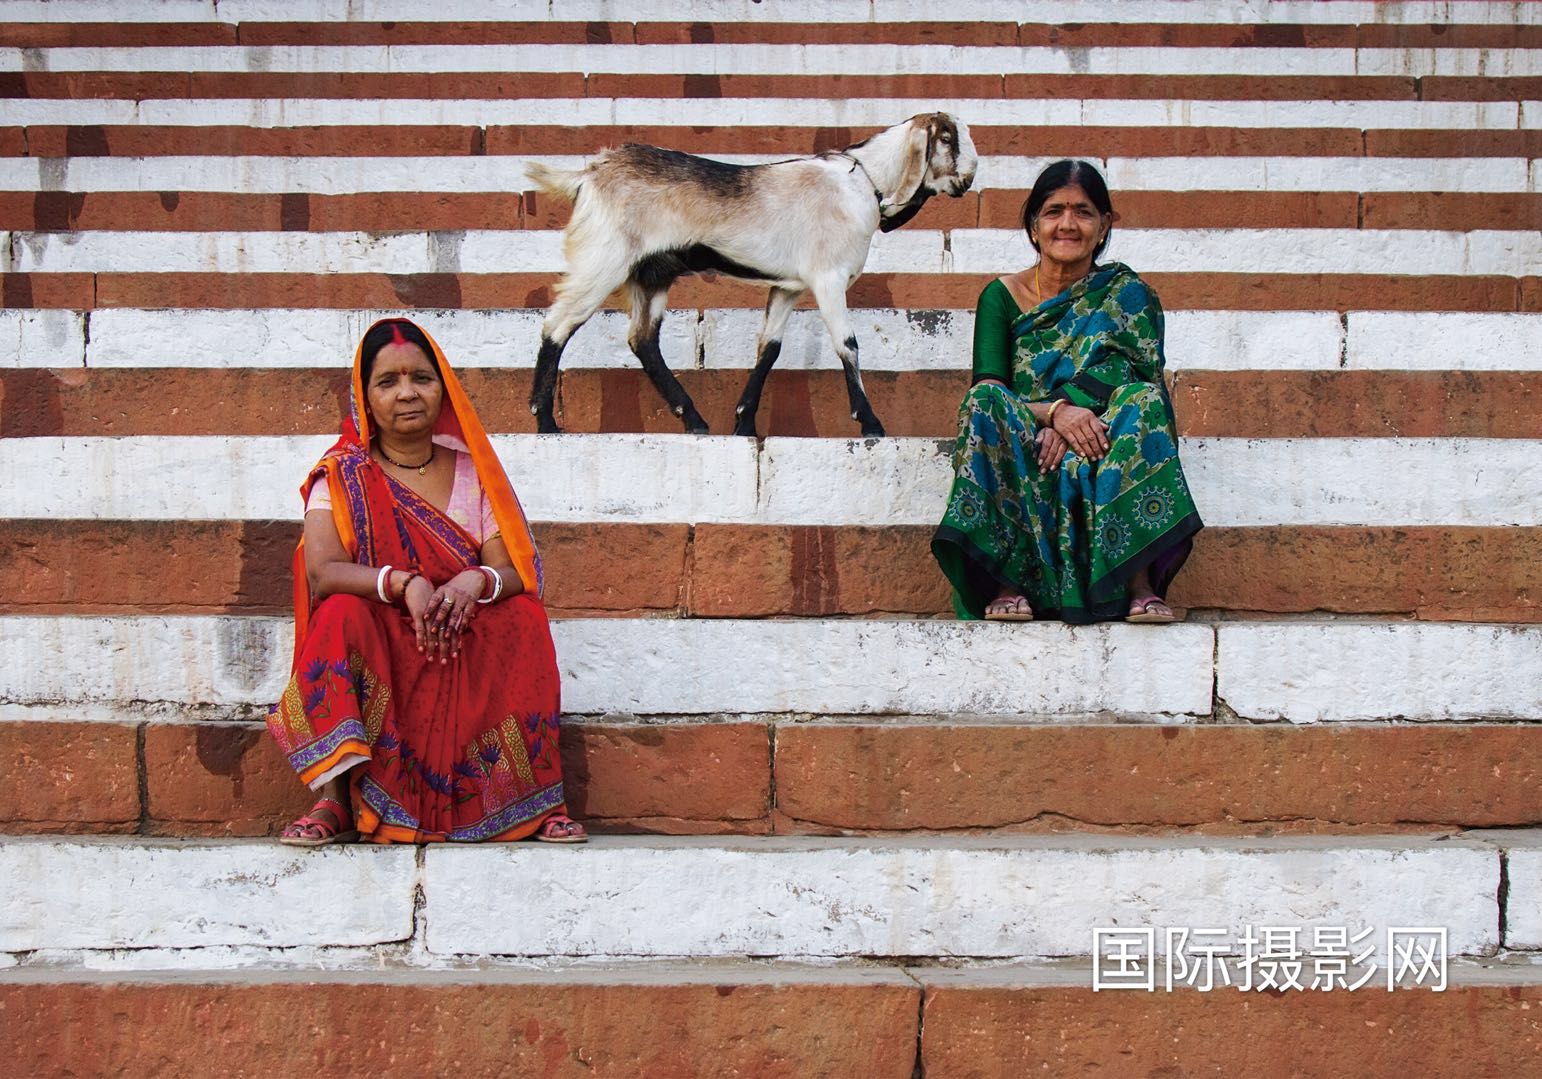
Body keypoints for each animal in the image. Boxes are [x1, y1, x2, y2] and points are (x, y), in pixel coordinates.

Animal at [524, 111, 977, 437]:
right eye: (947, 138)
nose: (969, 179)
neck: (862, 182)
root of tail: (588, 174)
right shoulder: (828, 277)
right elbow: (846, 344)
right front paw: (871, 424)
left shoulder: (788, 287)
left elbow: (769, 348)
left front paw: (744, 423)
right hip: (603, 261)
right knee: (558, 324)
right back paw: (546, 421)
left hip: (650, 275)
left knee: (643, 340)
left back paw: (694, 420)